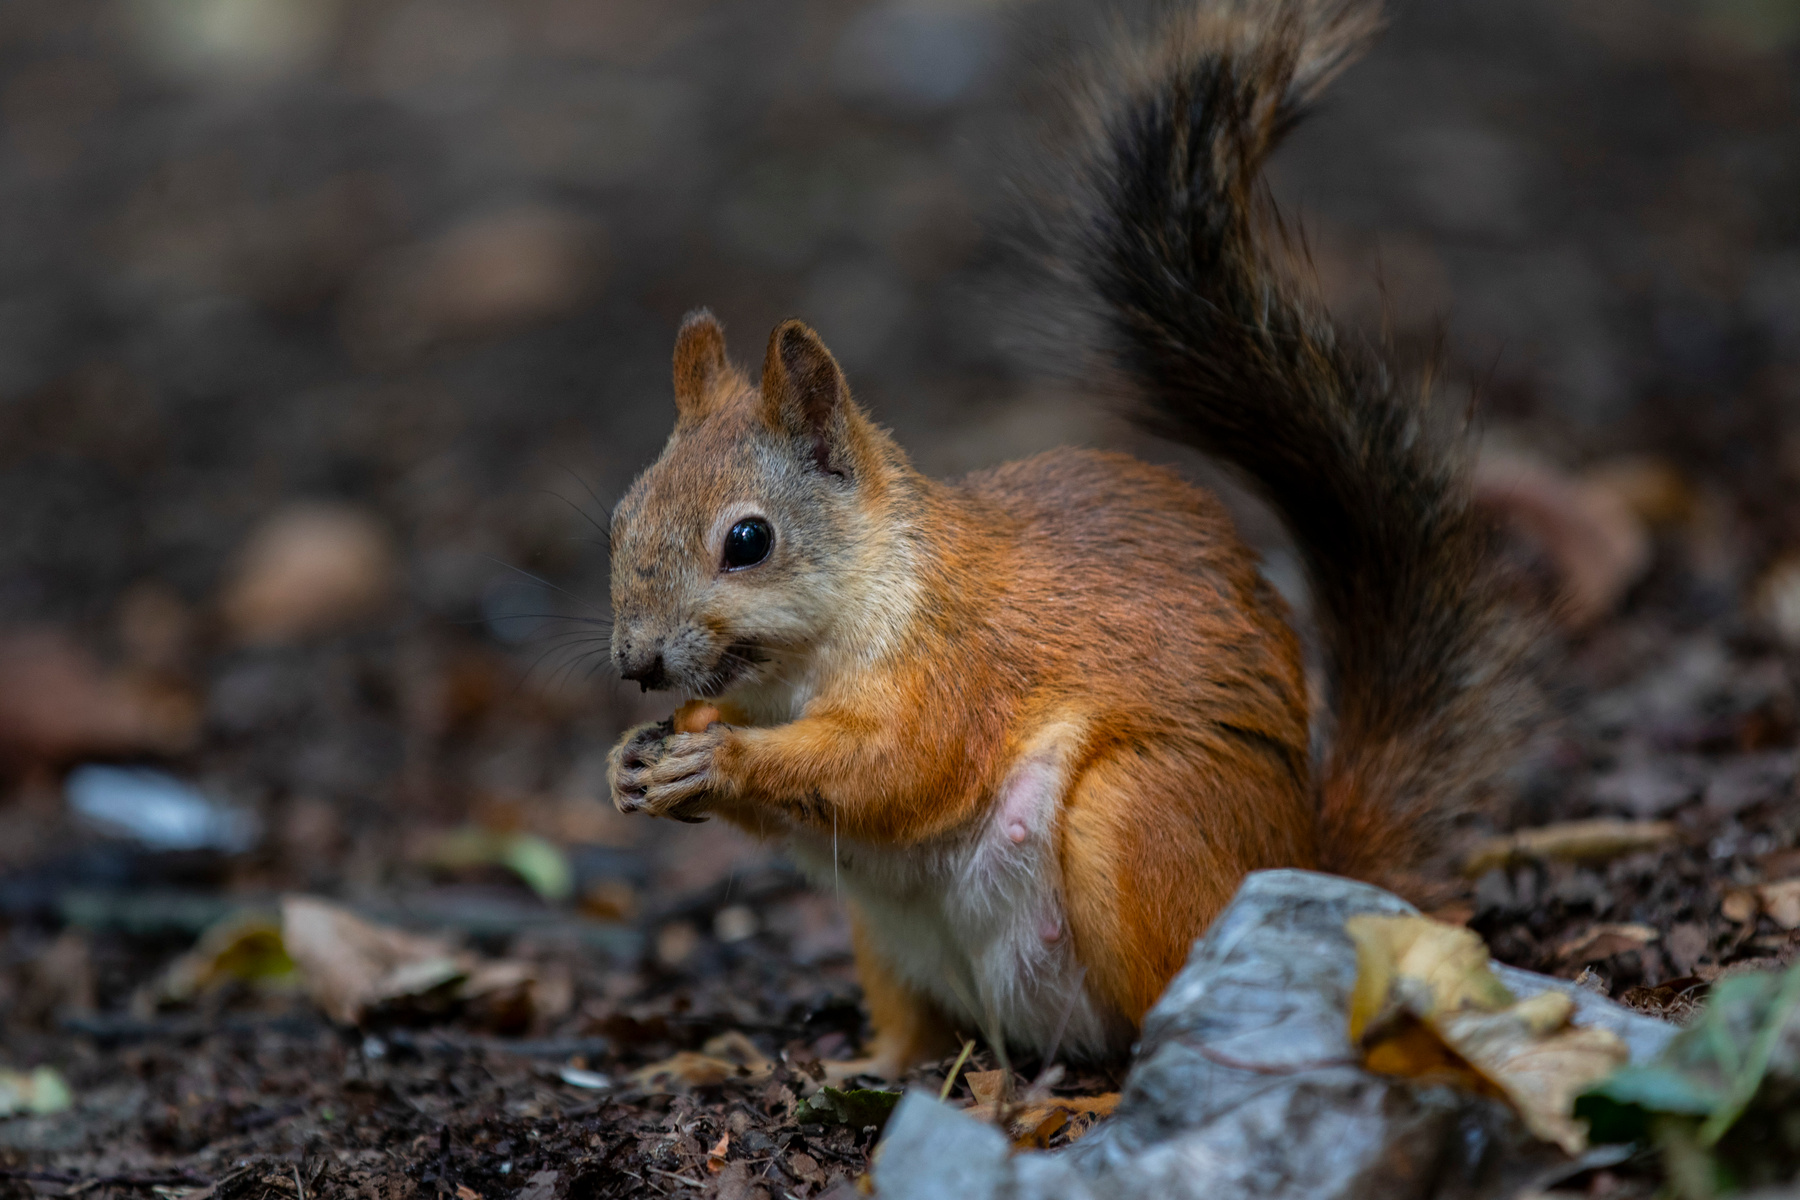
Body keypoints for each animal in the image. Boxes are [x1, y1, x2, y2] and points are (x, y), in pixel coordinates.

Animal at [604, 0, 1538, 1078]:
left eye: (748, 540)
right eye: (621, 516)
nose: (637, 661)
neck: (800, 663)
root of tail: (1303, 857)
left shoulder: (958, 668)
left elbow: (895, 766)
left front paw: (720, 758)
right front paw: (633, 759)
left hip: (1137, 818)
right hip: (885, 941)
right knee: (919, 1027)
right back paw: (867, 1065)